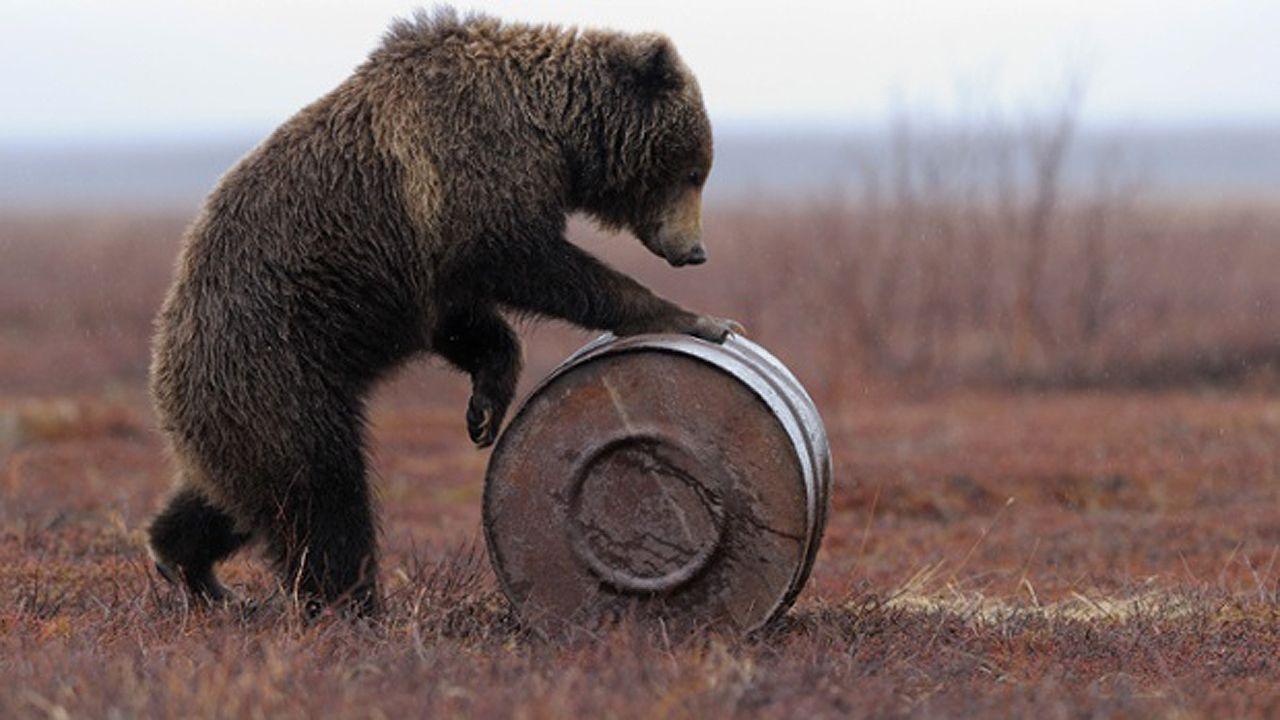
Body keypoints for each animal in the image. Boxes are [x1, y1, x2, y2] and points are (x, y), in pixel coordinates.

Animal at [146, 7, 739, 615]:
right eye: (695, 169)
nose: (695, 251)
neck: (551, 131)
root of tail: (166, 358)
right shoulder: (468, 168)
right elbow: (522, 257)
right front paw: (693, 318)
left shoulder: (428, 270)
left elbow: (464, 322)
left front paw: (485, 409)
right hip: (278, 362)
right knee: (321, 491)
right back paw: (353, 602)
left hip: (249, 402)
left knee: (232, 493)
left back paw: (188, 565)